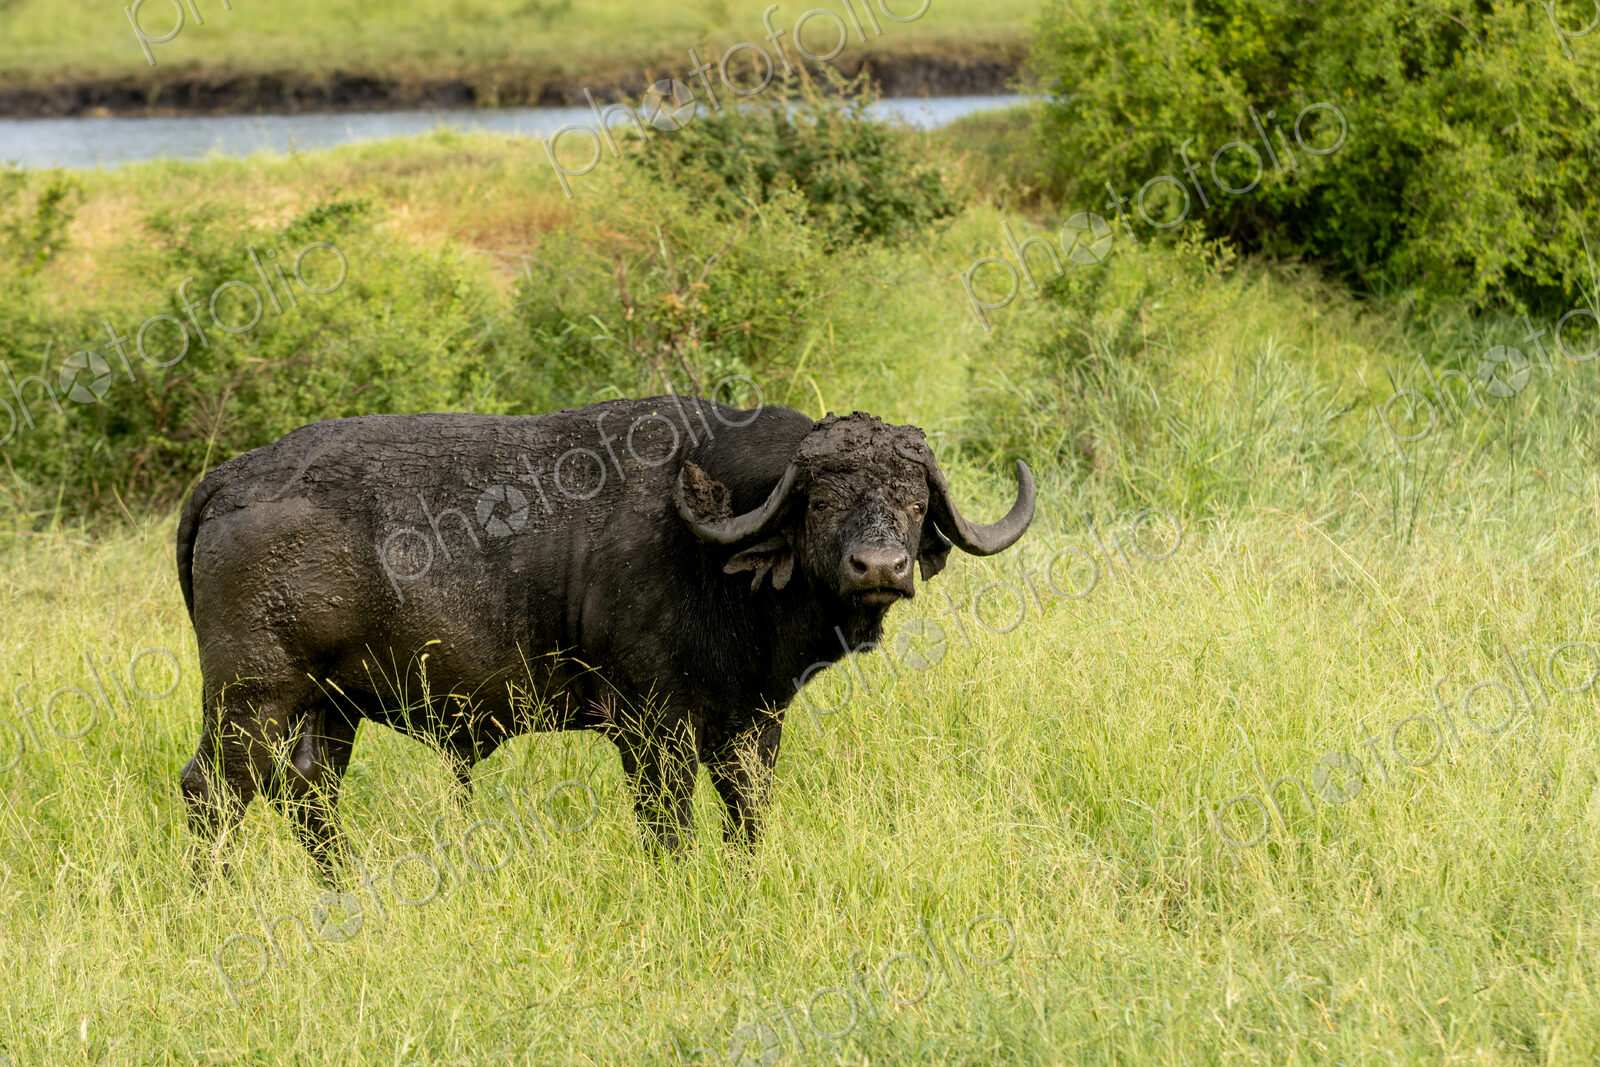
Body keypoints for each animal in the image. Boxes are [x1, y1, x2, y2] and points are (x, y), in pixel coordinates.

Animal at [176, 395, 1034, 867]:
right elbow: (670, 827)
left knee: (307, 797)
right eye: (821, 499)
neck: (707, 544)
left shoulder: (754, 722)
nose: (880, 566)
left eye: (914, 499)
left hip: (330, 711)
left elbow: (747, 816)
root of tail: (236, 477)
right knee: (212, 792)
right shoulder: (652, 730)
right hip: (251, 701)